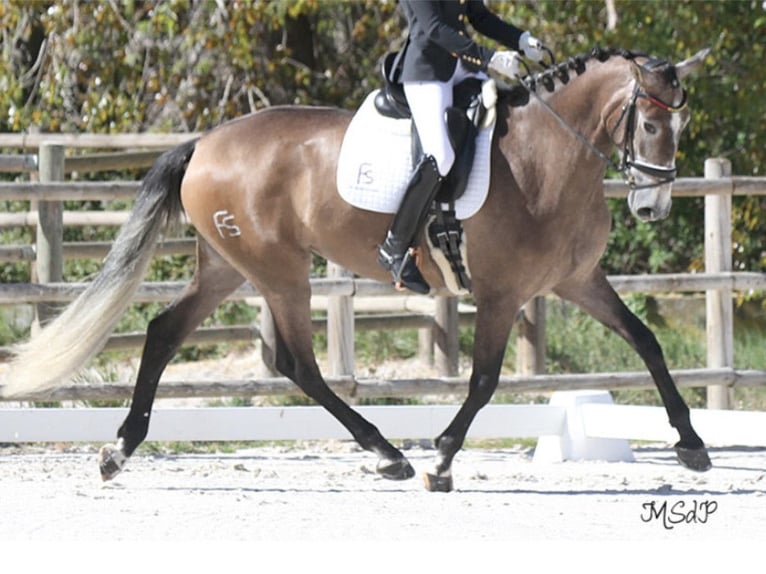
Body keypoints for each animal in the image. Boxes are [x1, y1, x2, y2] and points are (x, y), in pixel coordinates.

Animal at [0, 47, 712, 492]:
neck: (547, 160)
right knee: (297, 364)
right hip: (280, 269)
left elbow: (647, 342)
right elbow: (484, 381)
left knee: (167, 333)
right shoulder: (503, 294)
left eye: (679, 128)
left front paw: (692, 445)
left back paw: (118, 452)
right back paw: (388, 454)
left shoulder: (577, 282)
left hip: (230, 267)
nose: (651, 206)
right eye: (652, 125)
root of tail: (205, 143)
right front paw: (442, 462)